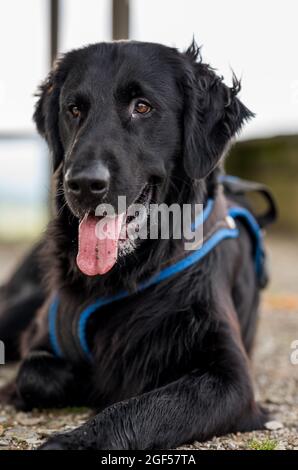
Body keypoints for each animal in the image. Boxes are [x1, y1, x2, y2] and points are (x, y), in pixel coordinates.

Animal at [0, 40, 272, 448]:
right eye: (74, 109)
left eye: (142, 107)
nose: (83, 184)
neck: (129, 272)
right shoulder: (46, 331)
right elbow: (34, 374)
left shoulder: (231, 376)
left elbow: (148, 408)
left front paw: (74, 440)